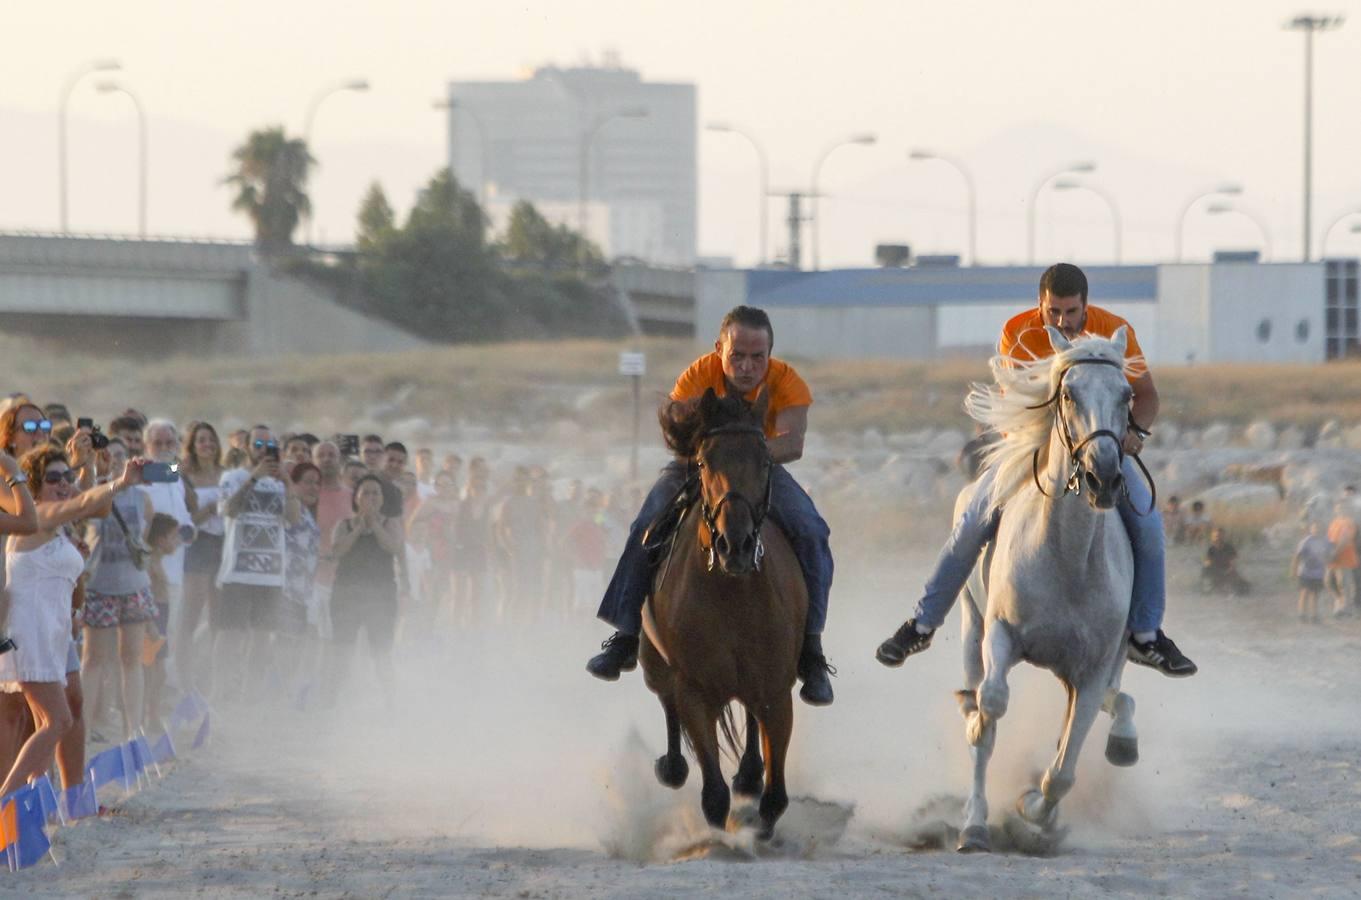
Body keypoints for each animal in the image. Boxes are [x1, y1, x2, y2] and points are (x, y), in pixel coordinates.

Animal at [639, 386, 805, 833]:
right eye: (702, 461)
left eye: (765, 461)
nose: (735, 545)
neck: (732, 594)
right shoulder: (695, 691)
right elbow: (714, 795)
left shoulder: (775, 690)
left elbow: (776, 796)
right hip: (652, 661)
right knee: (666, 701)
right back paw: (672, 767)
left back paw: (748, 773)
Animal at [958, 326, 1137, 855]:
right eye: (1068, 394)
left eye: (1127, 395)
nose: (1103, 477)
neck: (1067, 557)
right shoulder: (1000, 634)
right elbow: (992, 706)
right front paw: (979, 822)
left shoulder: (1092, 670)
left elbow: (1063, 769)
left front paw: (1034, 811)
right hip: (970, 625)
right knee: (981, 696)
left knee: (1103, 710)